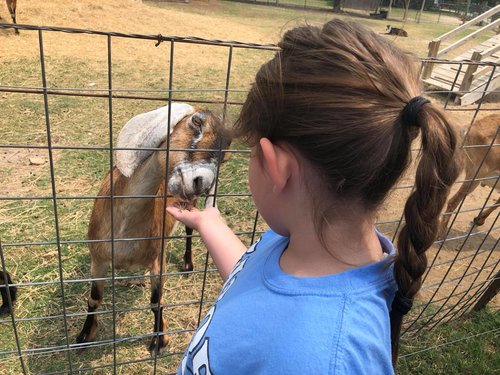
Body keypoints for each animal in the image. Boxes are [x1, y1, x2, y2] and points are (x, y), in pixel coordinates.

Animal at [75, 104, 230, 354]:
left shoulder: (158, 259)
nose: (202, 182)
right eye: (196, 122)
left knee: (189, 230)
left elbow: (156, 301)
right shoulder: (97, 259)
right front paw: (84, 335)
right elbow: (94, 299)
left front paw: (159, 339)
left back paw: (187, 264)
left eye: (226, 149)